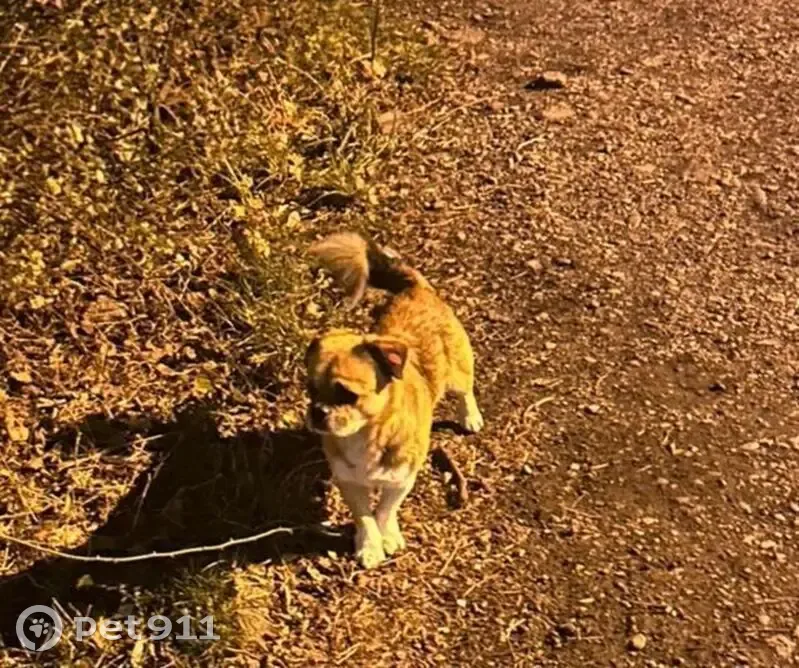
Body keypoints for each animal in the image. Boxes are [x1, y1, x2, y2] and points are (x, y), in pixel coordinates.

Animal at [305, 232, 483, 568]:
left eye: (347, 394)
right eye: (310, 389)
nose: (319, 412)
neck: (366, 435)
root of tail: (415, 288)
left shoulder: (402, 478)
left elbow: (385, 510)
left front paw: (388, 536)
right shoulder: (349, 481)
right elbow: (365, 517)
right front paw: (370, 545)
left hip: (458, 370)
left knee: (465, 391)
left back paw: (470, 416)